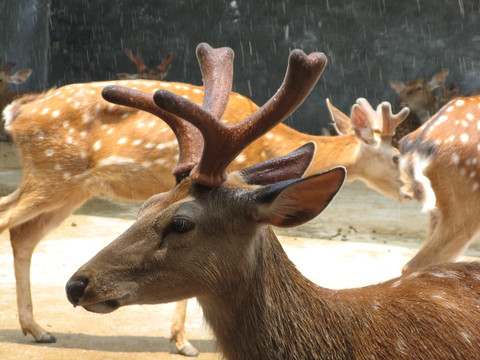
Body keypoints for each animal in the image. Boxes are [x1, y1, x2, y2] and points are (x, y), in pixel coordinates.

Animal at [2, 43, 408, 356]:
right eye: (395, 157)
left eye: (154, 206)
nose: (409, 189)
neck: (274, 143)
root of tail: (15, 112)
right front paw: (183, 342)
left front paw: (180, 338)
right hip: (53, 174)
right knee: (9, 218)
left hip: (72, 187)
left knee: (24, 234)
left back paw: (37, 328)